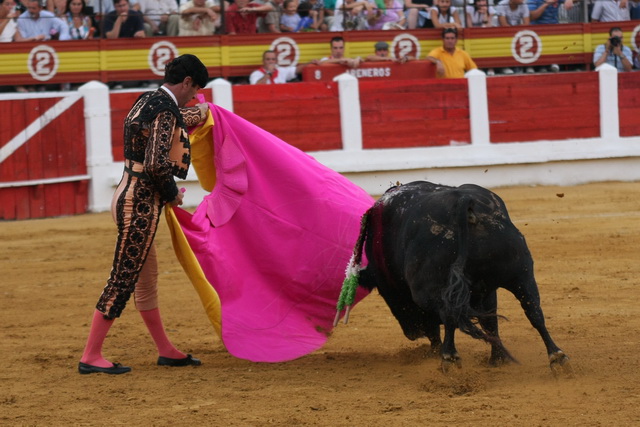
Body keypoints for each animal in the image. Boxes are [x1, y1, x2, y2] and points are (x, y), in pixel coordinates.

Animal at [340, 182, 568, 376]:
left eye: (385, 295)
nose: (412, 334)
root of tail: (464, 201)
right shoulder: (487, 290)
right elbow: (490, 321)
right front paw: (498, 359)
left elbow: (437, 324)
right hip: (521, 273)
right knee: (533, 311)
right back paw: (556, 357)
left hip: (429, 290)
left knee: (448, 314)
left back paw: (449, 359)